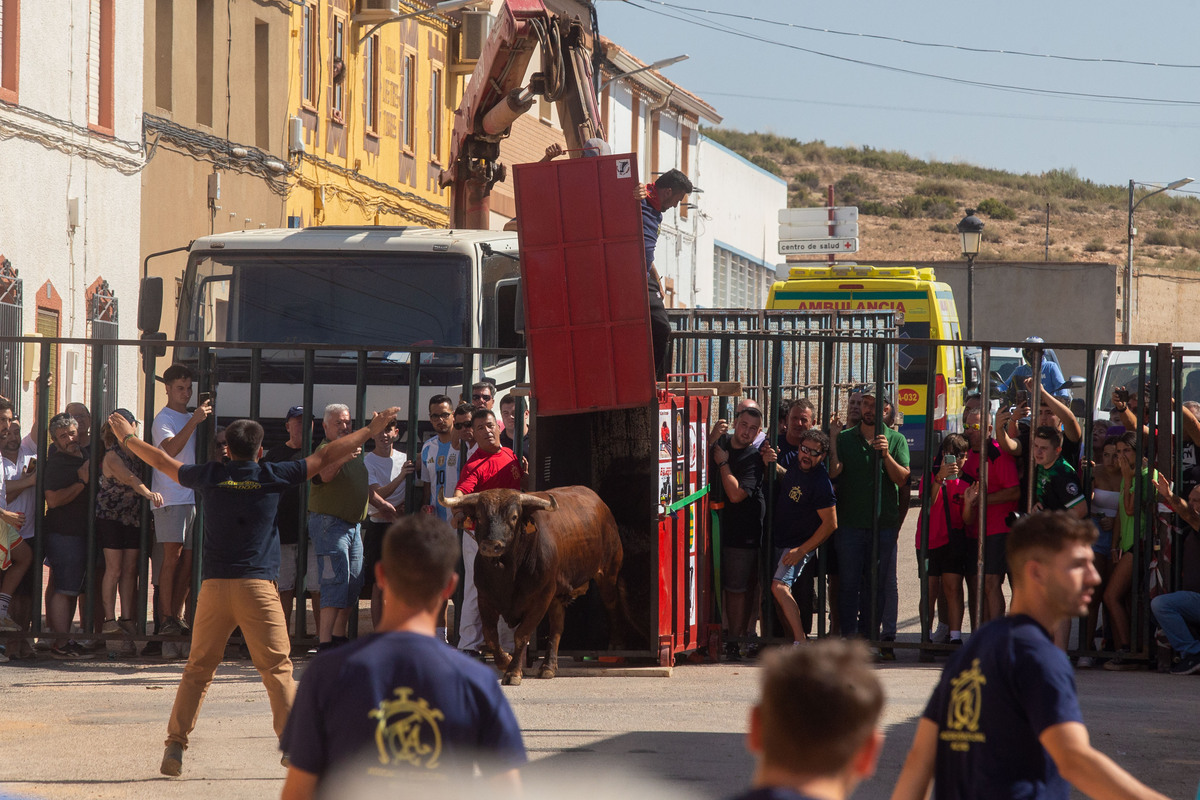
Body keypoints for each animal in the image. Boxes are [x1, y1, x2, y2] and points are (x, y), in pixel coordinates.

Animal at [444, 484, 628, 686]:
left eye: (514, 517)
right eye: (479, 515)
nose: (491, 546)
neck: (507, 570)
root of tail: (601, 504)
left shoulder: (540, 598)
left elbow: (521, 635)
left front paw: (513, 672)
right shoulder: (485, 598)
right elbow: (491, 635)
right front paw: (505, 662)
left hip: (608, 573)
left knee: (612, 604)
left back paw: (617, 643)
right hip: (557, 595)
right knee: (557, 628)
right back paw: (548, 667)